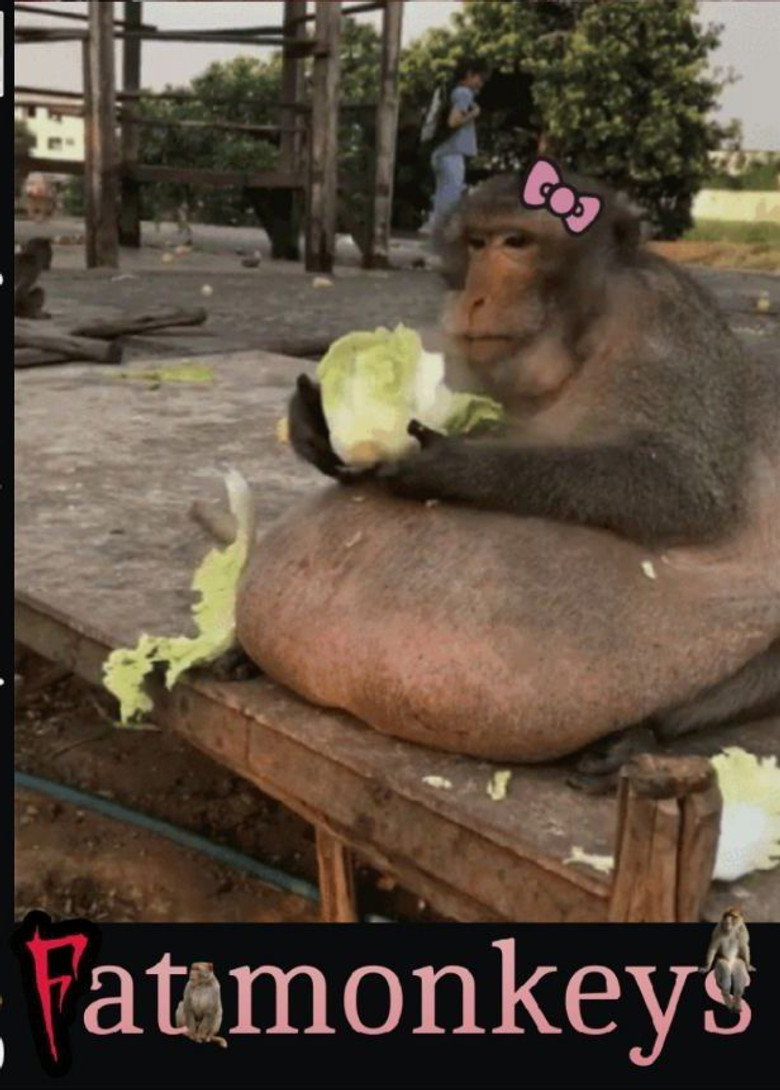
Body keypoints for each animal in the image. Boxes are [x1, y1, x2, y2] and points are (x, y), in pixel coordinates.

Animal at [287, 170, 780, 778]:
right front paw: (313, 422)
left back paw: (643, 729)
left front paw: (453, 467)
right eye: (477, 244)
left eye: (517, 243)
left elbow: (686, 487)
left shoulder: (664, 323)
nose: (473, 298)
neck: (575, 342)